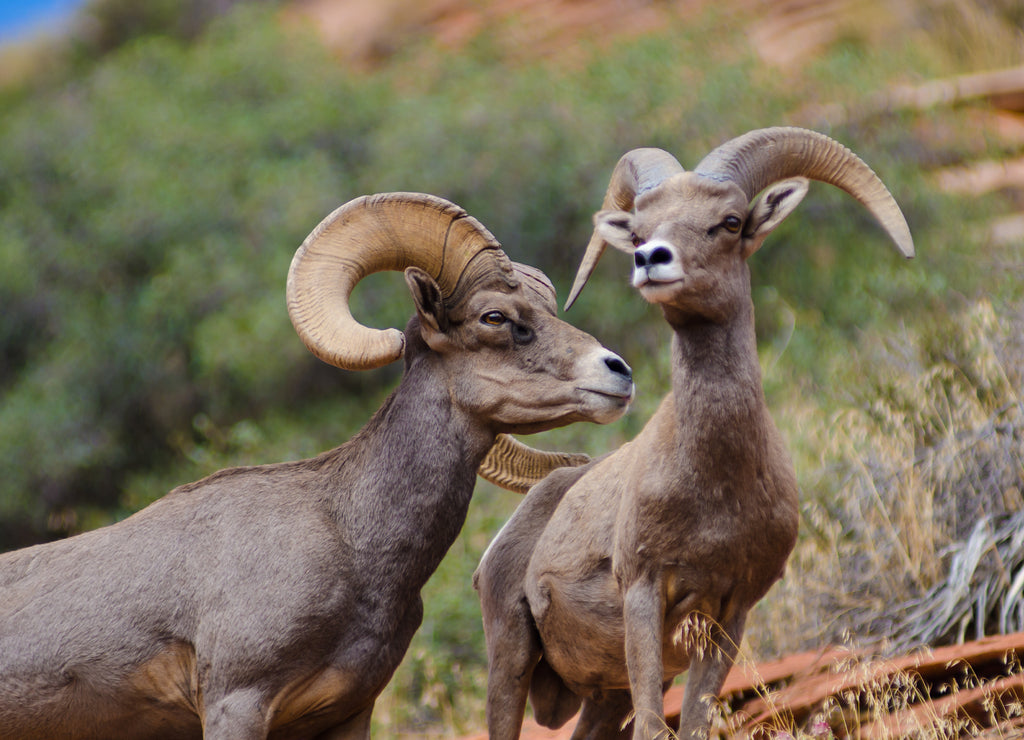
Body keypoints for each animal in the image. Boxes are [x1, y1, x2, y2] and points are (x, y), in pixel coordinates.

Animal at [471, 128, 913, 740]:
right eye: (637, 230)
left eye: (729, 221)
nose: (649, 259)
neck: (714, 489)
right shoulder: (643, 595)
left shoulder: (730, 615)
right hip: (511, 658)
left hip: (606, 699)